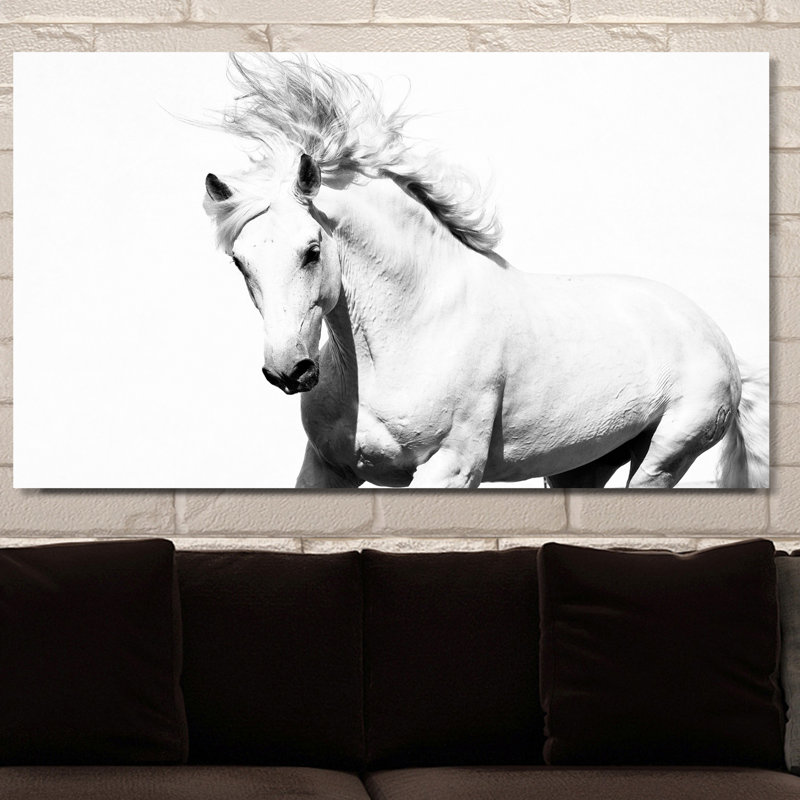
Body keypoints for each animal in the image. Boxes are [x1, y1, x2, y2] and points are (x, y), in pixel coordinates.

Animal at [203, 54, 769, 489]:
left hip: (664, 457)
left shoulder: (449, 470)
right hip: (580, 466)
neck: (409, 331)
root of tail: (712, 334)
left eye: (312, 250)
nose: (288, 371)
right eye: (240, 261)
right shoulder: (328, 470)